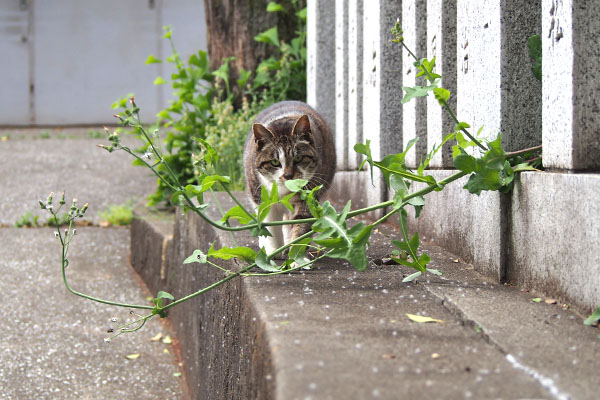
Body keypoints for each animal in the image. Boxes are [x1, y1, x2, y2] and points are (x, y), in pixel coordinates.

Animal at [245, 101, 338, 255]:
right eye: (275, 162)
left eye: (298, 158)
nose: (288, 175)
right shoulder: (262, 197)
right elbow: (270, 225)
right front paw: (273, 252)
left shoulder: (308, 196)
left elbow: (300, 225)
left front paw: (295, 255)